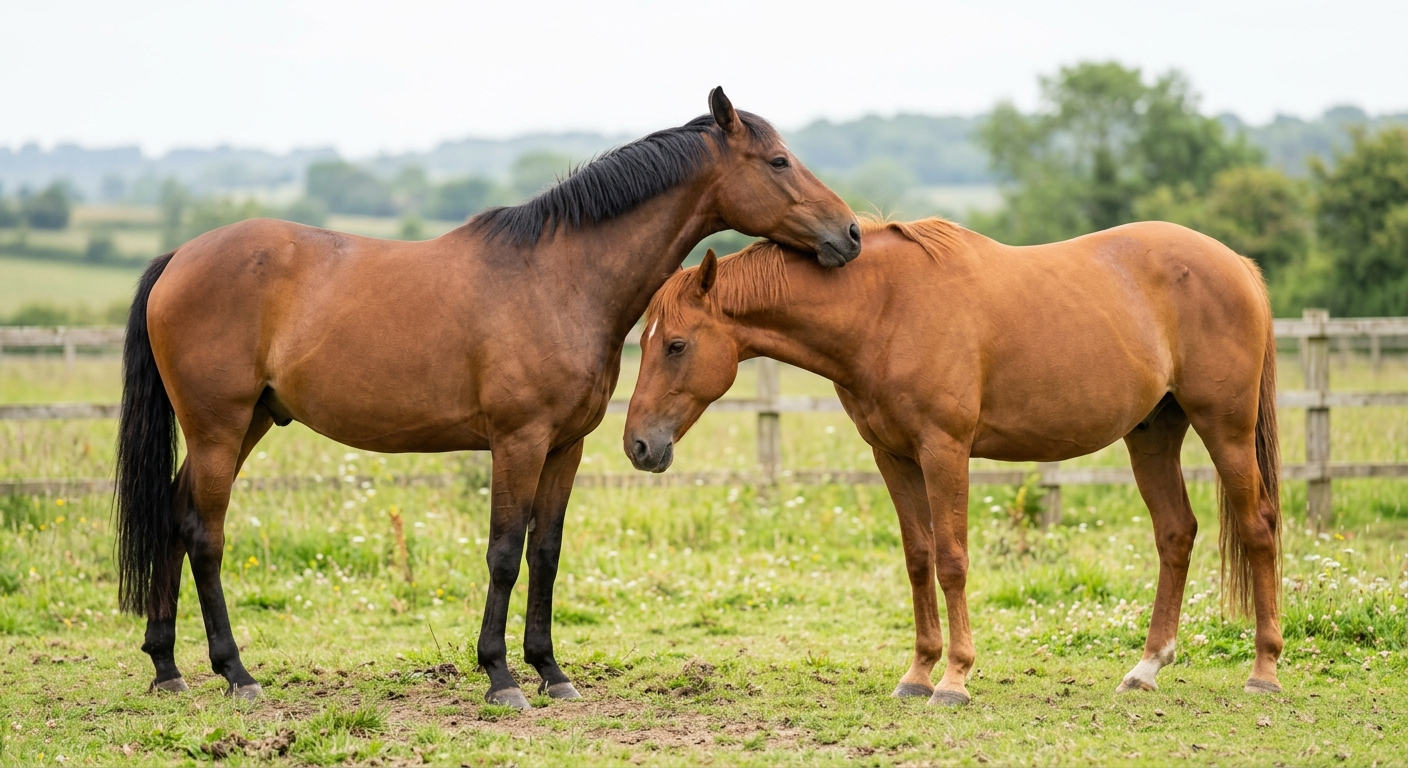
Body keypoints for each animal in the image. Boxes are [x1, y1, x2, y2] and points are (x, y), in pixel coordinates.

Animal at [115, 88, 861, 709]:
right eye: (778, 161)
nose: (850, 234)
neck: (559, 278)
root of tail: (179, 258)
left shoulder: (565, 446)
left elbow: (545, 553)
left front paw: (552, 672)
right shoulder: (518, 441)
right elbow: (504, 552)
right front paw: (501, 677)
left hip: (247, 426)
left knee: (173, 517)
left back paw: (167, 667)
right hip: (219, 427)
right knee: (204, 534)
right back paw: (236, 673)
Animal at [624, 217, 1282, 705]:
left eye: (676, 344)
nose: (638, 445)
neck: (885, 308)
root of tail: (1239, 266)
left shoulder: (945, 450)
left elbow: (952, 560)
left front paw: (955, 678)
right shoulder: (893, 456)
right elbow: (918, 559)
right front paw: (918, 674)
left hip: (1224, 428)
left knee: (1258, 529)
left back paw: (1264, 671)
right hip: (1152, 433)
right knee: (1175, 533)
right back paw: (1147, 668)